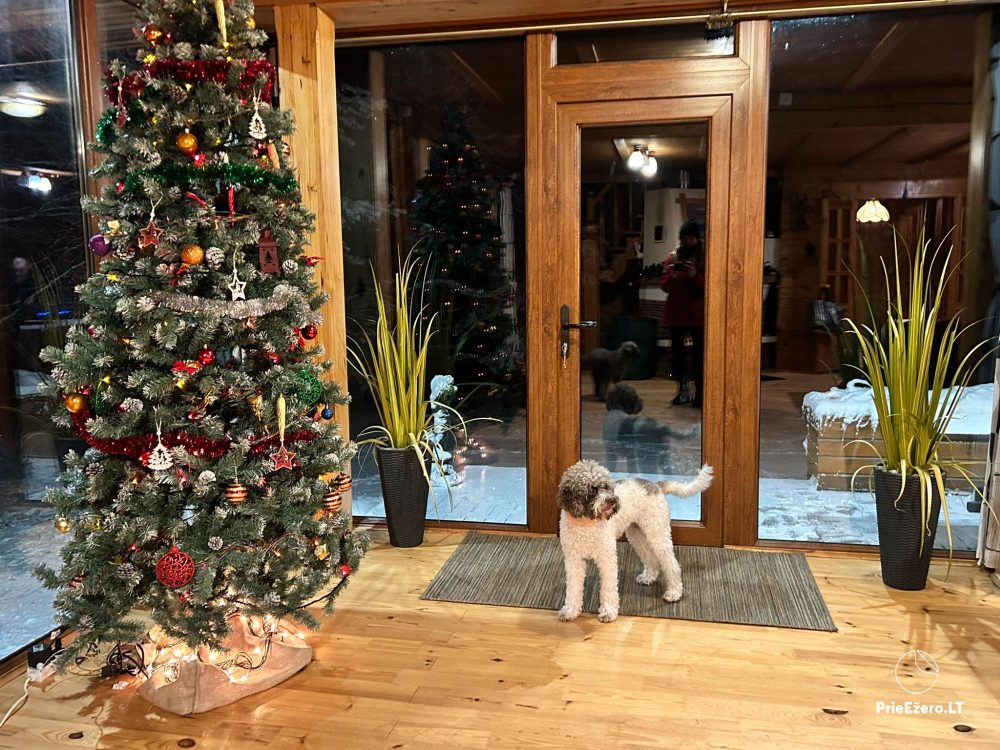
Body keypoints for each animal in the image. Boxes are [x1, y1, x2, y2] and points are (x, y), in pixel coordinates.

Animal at [557, 460, 713, 623]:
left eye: (606, 486)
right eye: (592, 490)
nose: (613, 500)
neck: (586, 524)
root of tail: (656, 485)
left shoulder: (607, 558)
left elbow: (608, 588)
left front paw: (608, 612)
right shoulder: (573, 560)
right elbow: (573, 589)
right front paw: (570, 611)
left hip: (657, 533)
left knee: (672, 564)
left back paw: (674, 592)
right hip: (636, 535)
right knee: (651, 558)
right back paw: (648, 577)